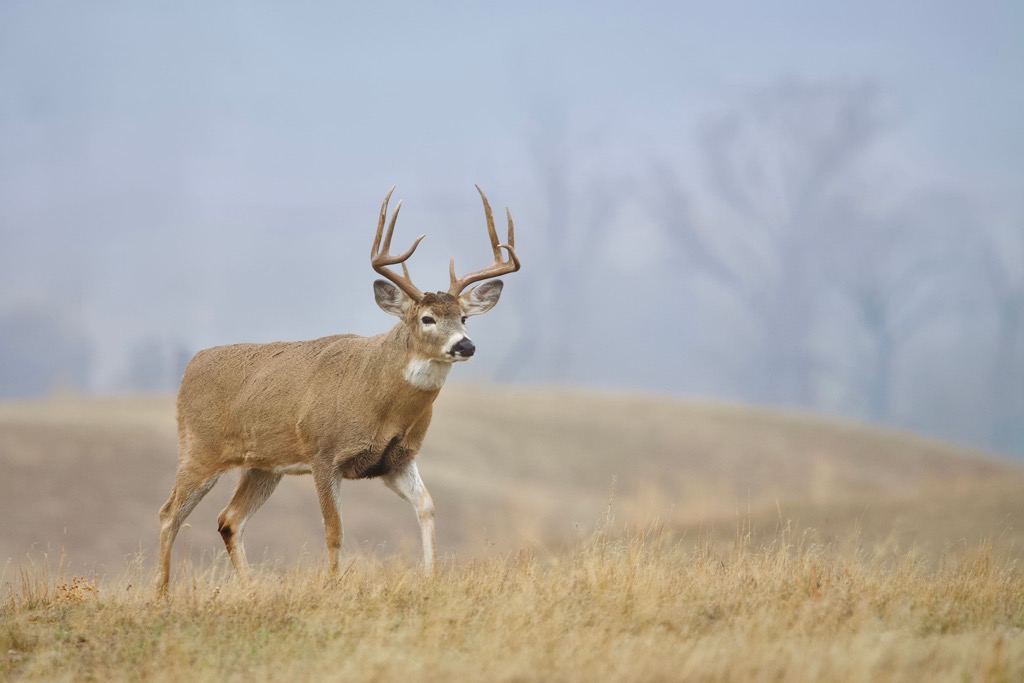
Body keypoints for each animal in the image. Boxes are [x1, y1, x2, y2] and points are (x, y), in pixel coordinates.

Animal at [157, 186, 520, 593]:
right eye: (427, 318)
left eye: (464, 317)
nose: (465, 345)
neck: (379, 400)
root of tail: (191, 366)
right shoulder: (323, 454)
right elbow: (334, 530)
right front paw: (331, 585)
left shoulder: (397, 459)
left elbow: (427, 506)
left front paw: (432, 578)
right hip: (199, 449)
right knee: (169, 513)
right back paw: (162, 593)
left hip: (263, 466)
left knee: (229, 519)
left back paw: (250, 589)